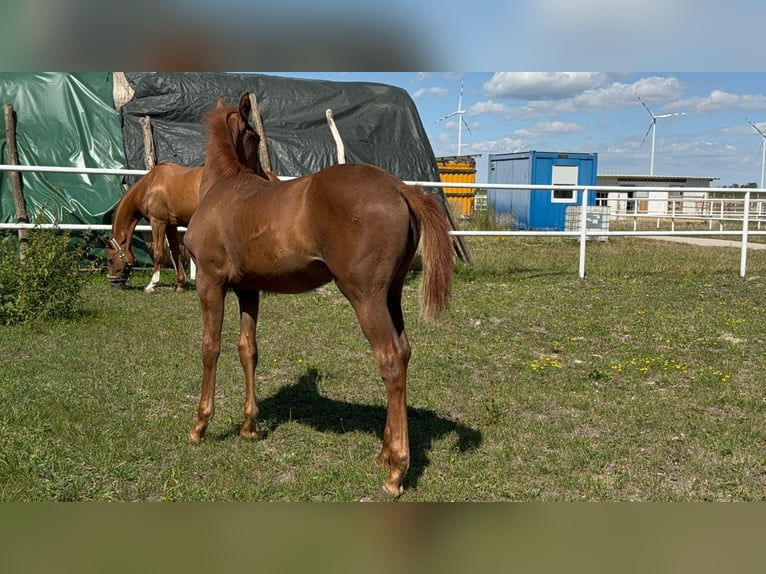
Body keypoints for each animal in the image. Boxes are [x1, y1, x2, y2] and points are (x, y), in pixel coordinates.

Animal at [184, 93, 455, 498]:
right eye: (255, 138)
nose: (266, 176)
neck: (224, 189)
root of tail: (398, 187)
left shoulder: (210, 282)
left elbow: (210, 348)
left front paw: (200, 426)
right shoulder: (249, 289)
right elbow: (248, 349)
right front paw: (249, 427)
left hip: (365, 297)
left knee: (390, 360)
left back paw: (396, 472)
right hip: (390, 295)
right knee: (404, 353)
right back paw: (384, 453)